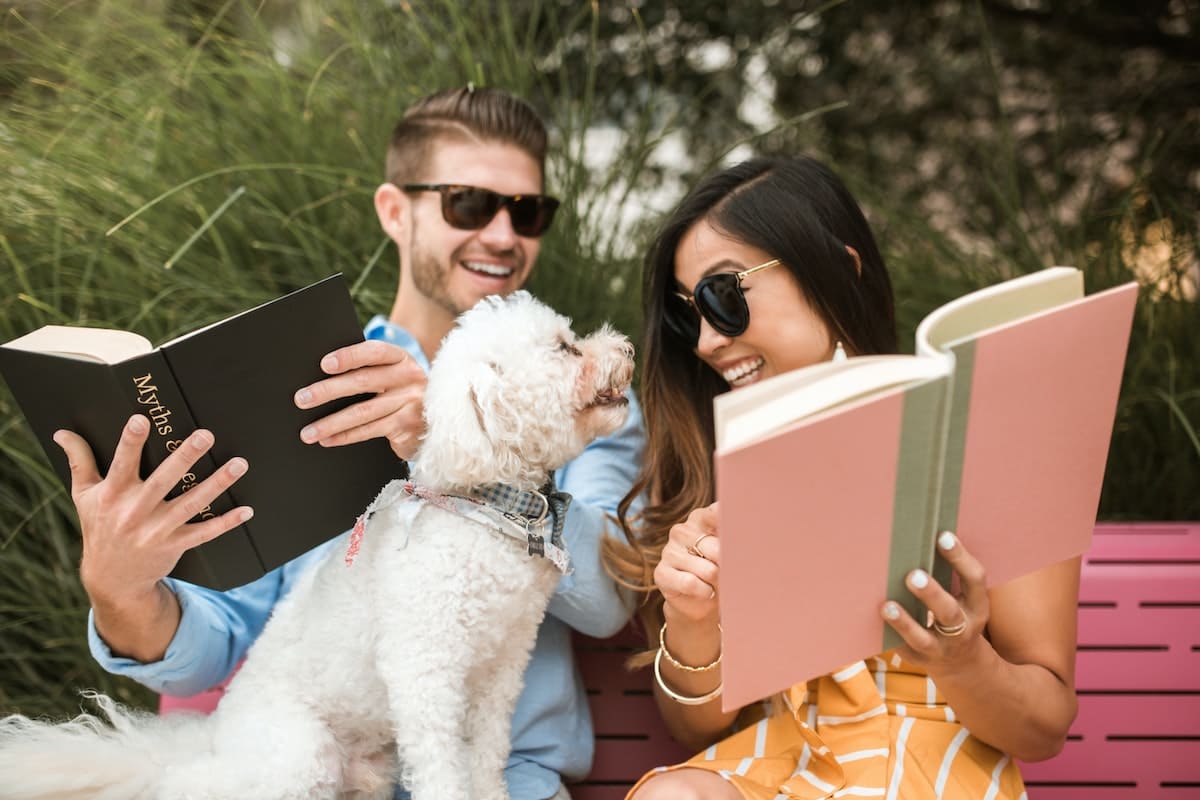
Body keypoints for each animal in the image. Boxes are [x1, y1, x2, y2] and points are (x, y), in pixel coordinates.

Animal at [0, 292, 638, 800]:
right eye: (566, 350)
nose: (627, 347)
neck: (487, 508)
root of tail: (214, 741)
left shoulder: (498, 672)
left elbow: (484, 763)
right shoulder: (425, 672)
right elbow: (444, 776)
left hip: (367, 774)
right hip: (299, 756)